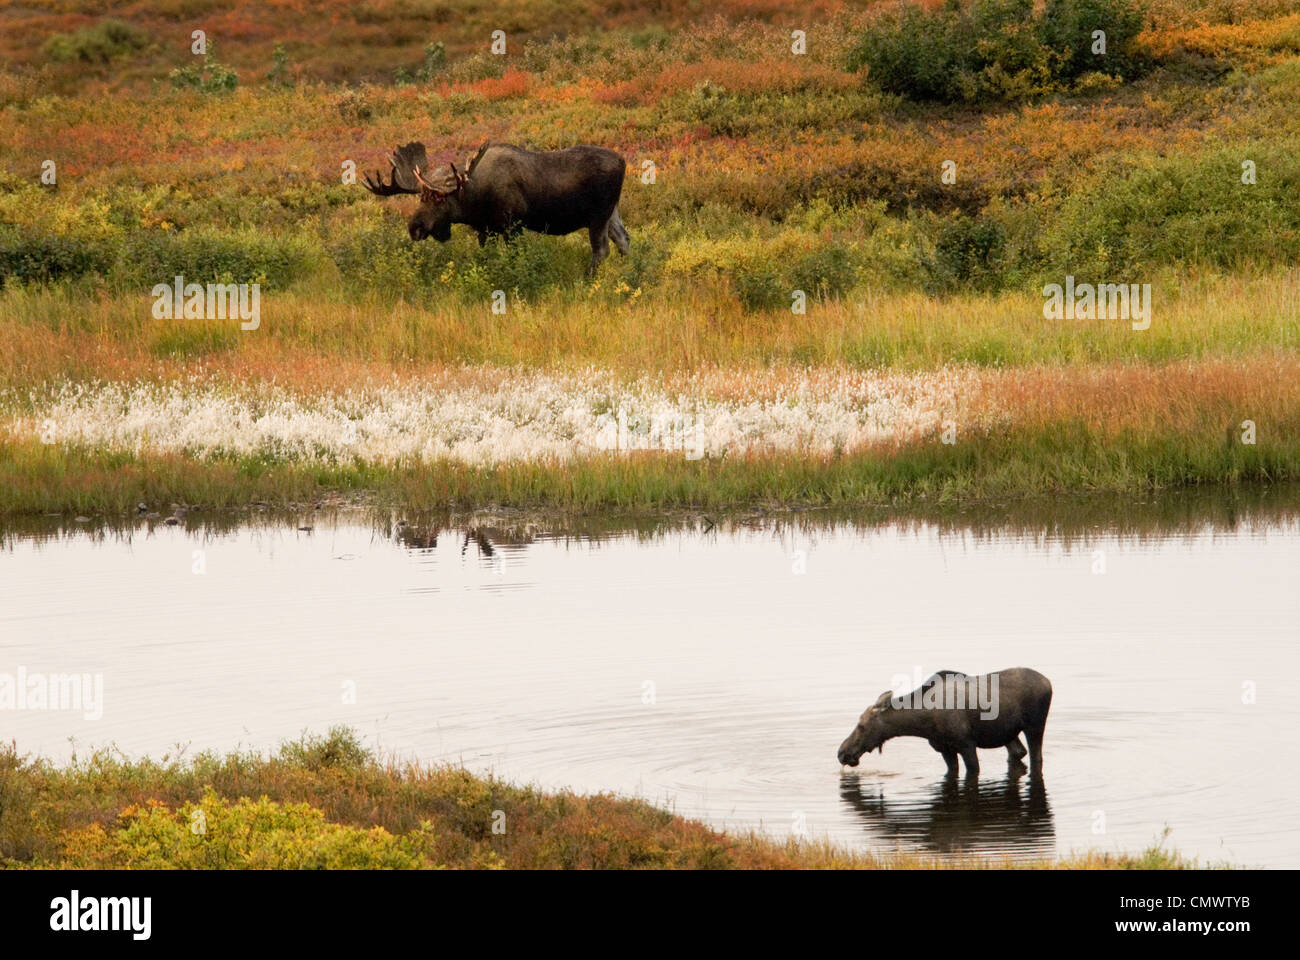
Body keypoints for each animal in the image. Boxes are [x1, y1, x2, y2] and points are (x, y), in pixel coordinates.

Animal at [361, 138, 629, 274]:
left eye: (439, 198)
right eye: (421, 197)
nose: (414, 228)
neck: (473, 196)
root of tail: (623, 161)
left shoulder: (512, 225)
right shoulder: (485, 229)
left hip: (598, 215)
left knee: (601, 250)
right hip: (612, 213)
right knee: (624, 239)